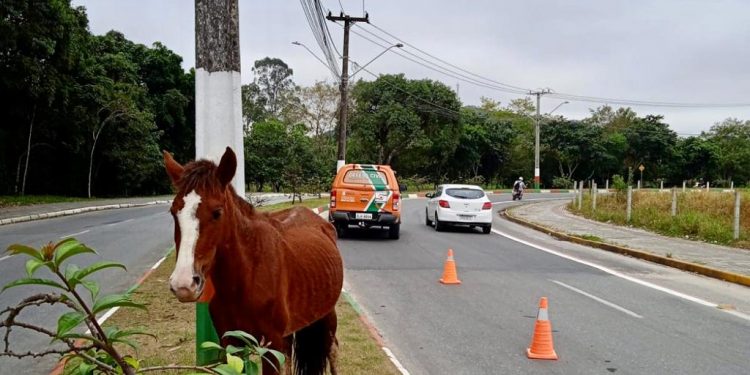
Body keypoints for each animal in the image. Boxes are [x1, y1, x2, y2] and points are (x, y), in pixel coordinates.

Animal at [164, 148, 346, 374]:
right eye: (173, 212)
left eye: (217, 213)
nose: (183, 284)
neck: (247, 274)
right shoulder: (231, 344)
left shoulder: (271, 347)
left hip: (327, 314)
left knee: (332, 349)